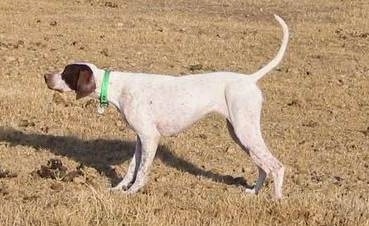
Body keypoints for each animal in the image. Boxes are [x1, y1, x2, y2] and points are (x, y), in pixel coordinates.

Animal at [43, 14, 288, 198]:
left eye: (66, 73)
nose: (46, 76)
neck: (117, 87)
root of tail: (250, 79)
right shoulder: (141, 139)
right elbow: (132, 168)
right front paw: (119, 188)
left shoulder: (150, 137)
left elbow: (142, 172)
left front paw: (131, 192)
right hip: (240, 134)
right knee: (263, 166)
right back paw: (253, 193)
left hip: (245, 131)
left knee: (276, 166)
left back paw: (276, 200)